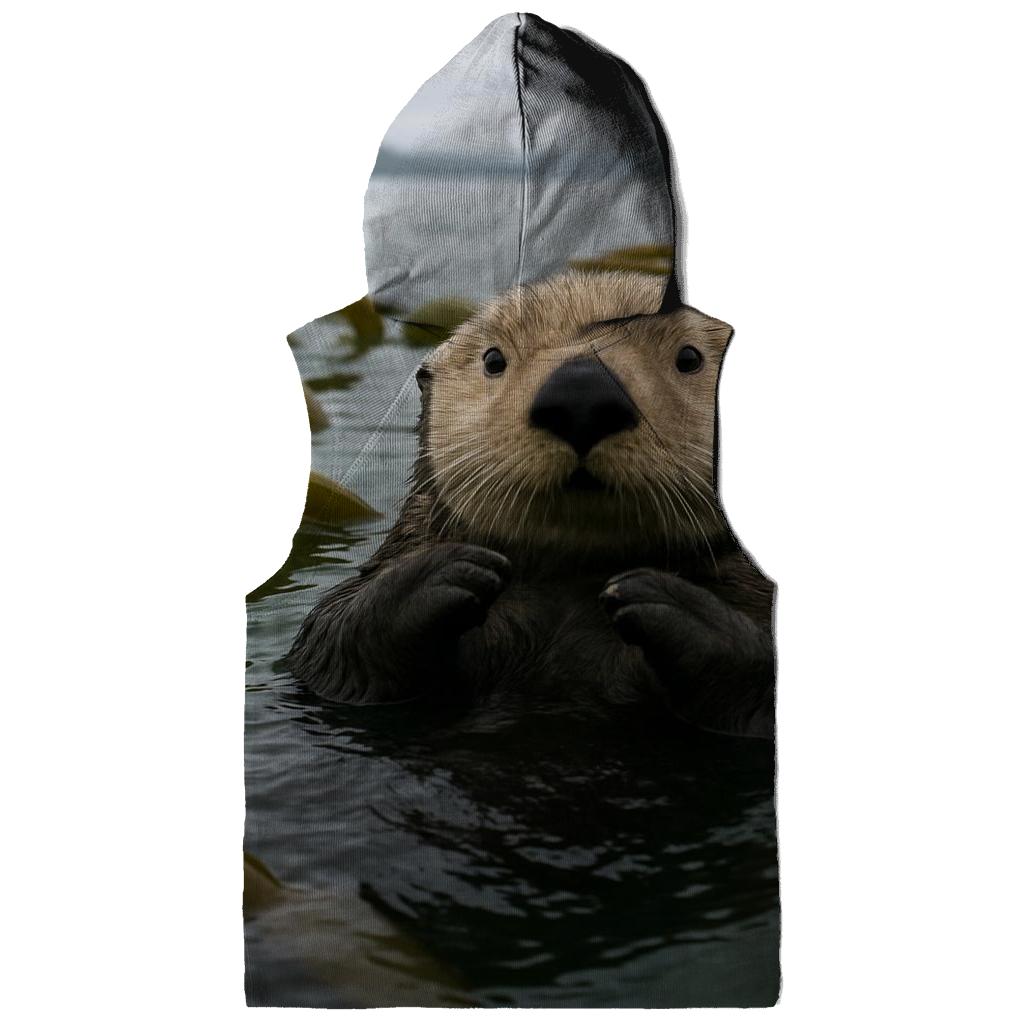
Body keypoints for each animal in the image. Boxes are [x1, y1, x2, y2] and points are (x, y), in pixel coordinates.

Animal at [287, 272, 775, 739]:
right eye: (493, 360)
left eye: (689, 358)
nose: (582, 394)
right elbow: (334, 642)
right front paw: (443, 572)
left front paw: (662, 598)